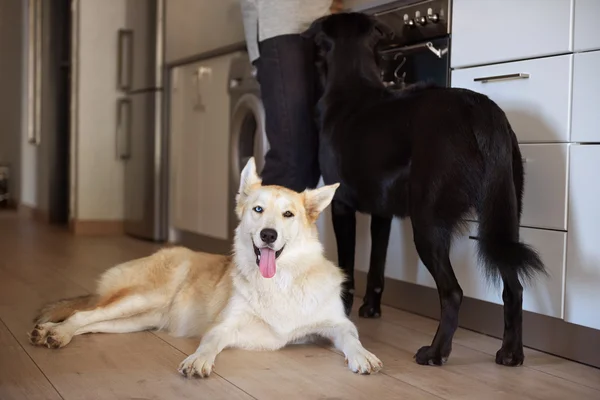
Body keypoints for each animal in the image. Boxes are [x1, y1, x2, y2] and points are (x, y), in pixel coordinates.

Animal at [302, 12, 548, 368]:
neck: (353, 85)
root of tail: (480, 109)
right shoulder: (382, 215)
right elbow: (376, 264)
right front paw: (371, 309)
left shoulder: (341, 206)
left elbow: (348, 266)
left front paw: (344, 312)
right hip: (504, 219)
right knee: (513, 288)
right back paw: (511, 353)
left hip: (428, 223)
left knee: (453, 292)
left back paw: (435, 352)